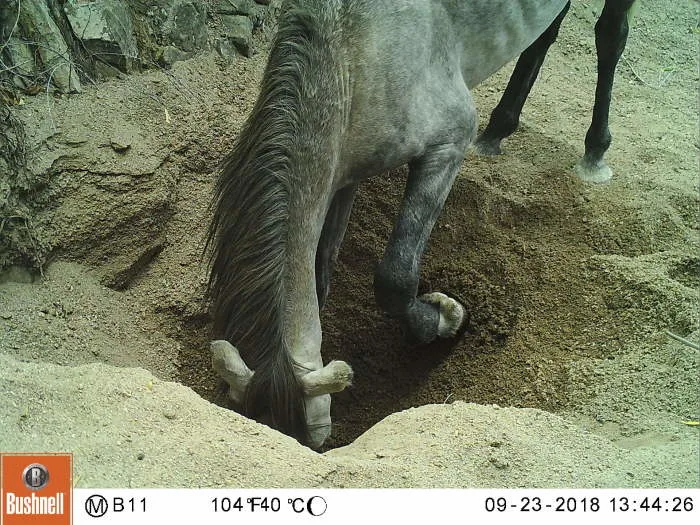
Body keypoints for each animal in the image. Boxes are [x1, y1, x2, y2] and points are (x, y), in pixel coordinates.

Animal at [209, 1, 636, 450]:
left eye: (313, 442)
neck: (356, 50)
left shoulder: (447, 144)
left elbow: (395, 280)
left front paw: (446, 316)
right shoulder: (343, 174)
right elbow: (322, 271)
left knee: (611, 34)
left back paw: (594, 152)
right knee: (546, 33)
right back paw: (498, 131)